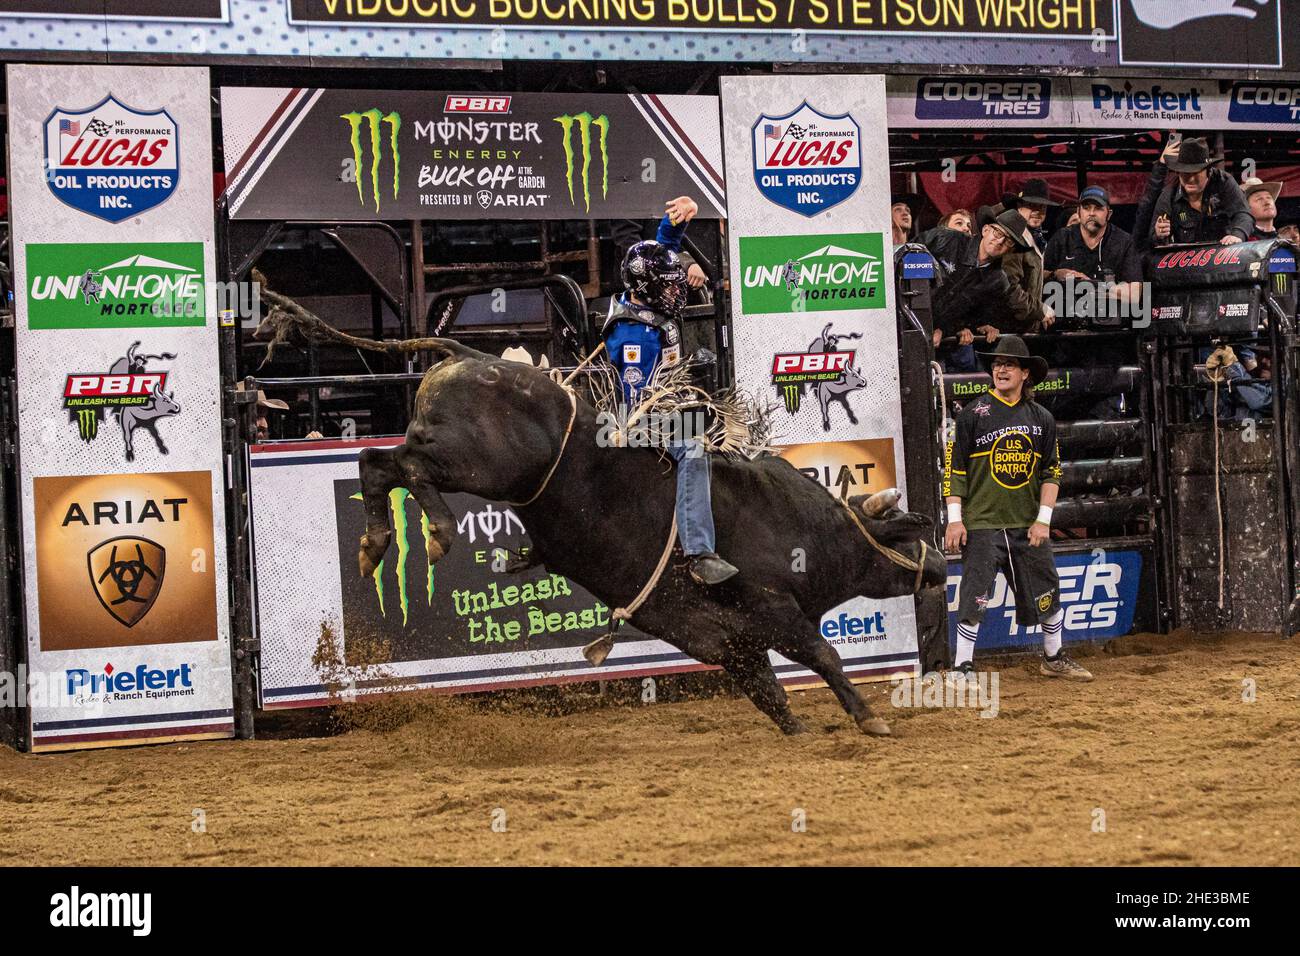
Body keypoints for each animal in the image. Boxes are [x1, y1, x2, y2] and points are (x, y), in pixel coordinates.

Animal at [292, 325, 946, 738]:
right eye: (905, 531)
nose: (941, 566)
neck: (809, 527)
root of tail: (468, 356)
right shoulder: (772, 606)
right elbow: (824, 655)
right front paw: (869, 718)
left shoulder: (721, 635)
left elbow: (763, 684)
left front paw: (796, 725)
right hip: (476, 462)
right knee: (402, 467)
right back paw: (438, 530)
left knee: (377, 463)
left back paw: (377, 544)